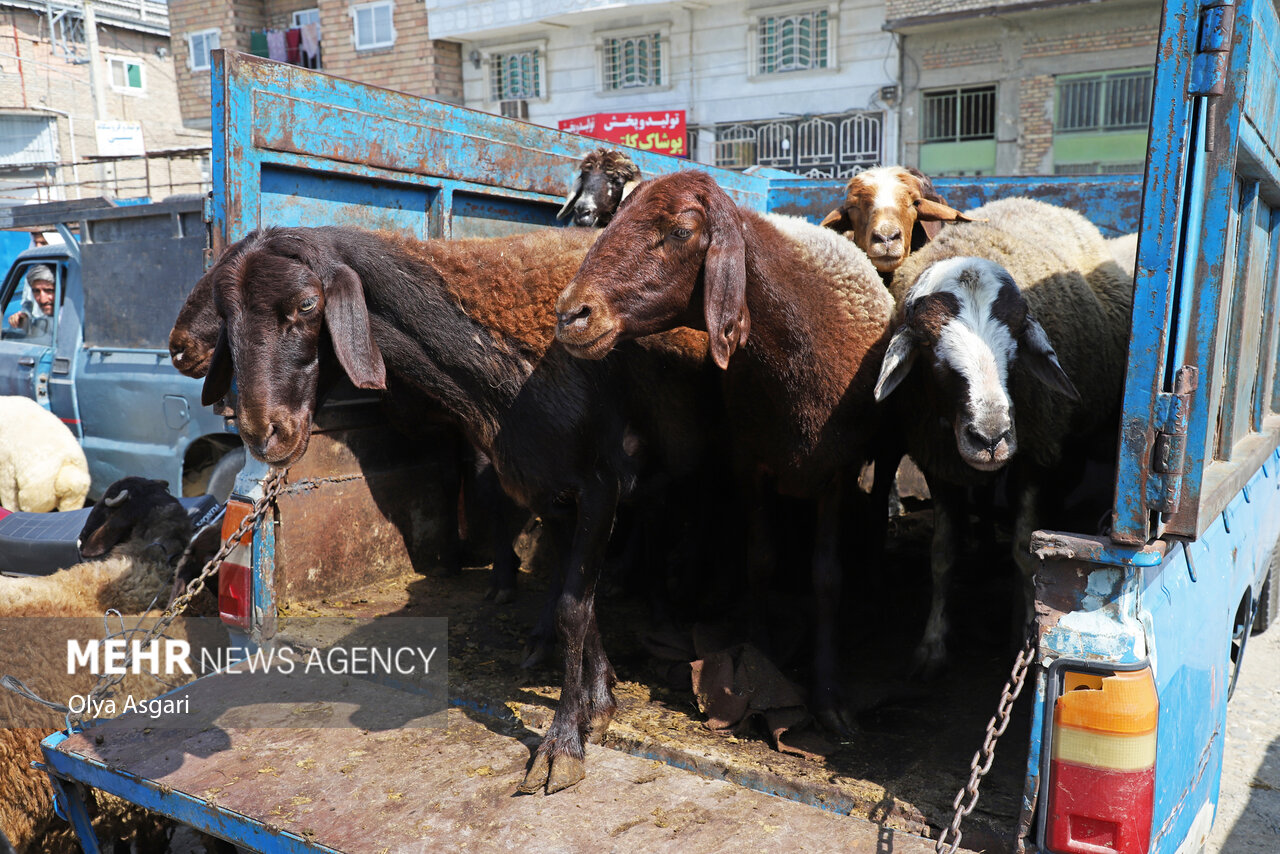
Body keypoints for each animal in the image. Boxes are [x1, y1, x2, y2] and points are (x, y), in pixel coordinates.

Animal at [555, 170, 896, 732]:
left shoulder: (839, 471)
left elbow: (826, 578)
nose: (571, 315)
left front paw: (829, 698)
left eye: (679, 232)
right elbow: (759, 559)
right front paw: (760, 664)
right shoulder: (747, 461)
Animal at [875, 197, 1136, 676]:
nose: (991, 437)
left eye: (1014, 347)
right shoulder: (938, 462)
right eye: (930, 349)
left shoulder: (1035, 455)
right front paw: (932, 646)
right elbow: (941, 553)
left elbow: (1026, 552)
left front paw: (1025, 628)